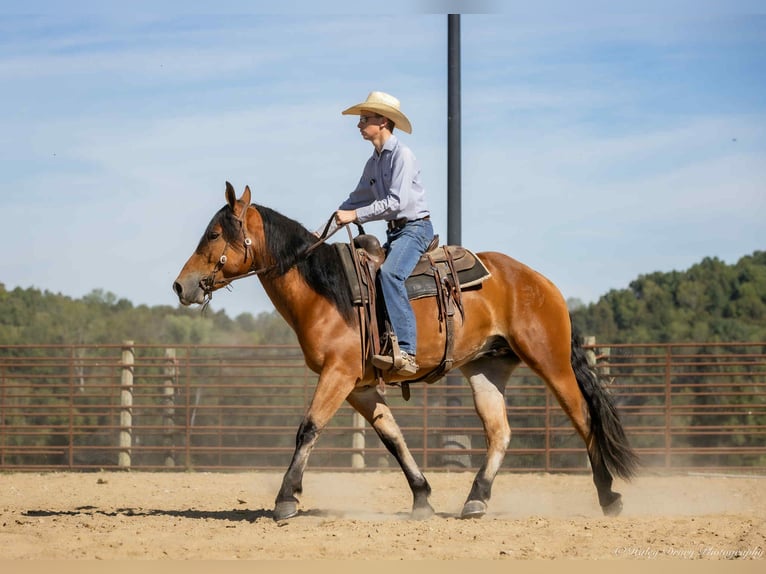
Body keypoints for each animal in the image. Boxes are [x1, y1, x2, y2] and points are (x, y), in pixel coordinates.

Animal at [173, 182, 639, 521]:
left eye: (214, 234)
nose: (181, 285)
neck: (328, 291)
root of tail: (539, 281)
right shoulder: (359, 386)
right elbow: (392, 437)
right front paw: (422, 497)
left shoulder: (338, 374)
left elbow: (309, 428)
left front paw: (286, 499)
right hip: (486, 370)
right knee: (499, 432)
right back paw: (476, 499)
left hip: (551, 361)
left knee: (583, 418)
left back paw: (608, 496)